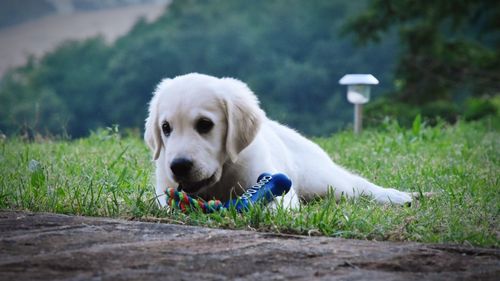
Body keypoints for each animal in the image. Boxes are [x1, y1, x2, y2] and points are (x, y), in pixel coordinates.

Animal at [144, 72, 410, 208]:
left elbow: (275, 202)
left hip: (322, 180)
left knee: (357, 185)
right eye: (166, 128)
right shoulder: (163, 188)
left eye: (204, 124)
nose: (179, 166)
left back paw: (397, 196)